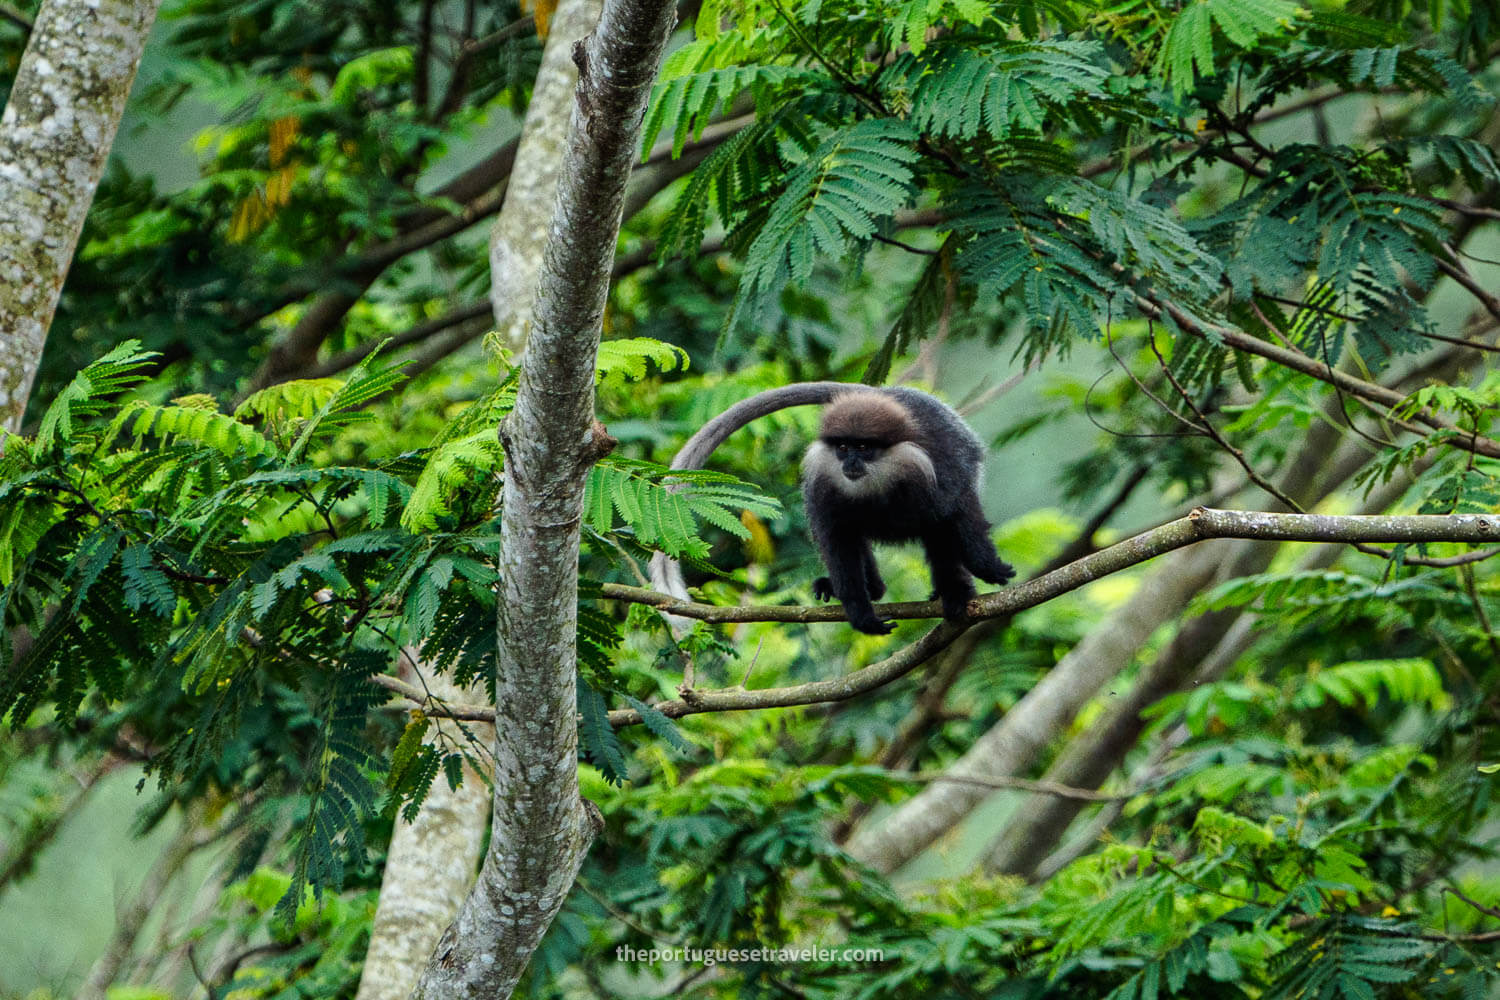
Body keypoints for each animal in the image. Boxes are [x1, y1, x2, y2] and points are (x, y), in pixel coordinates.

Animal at [798, 389, 1020, 632]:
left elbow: (960, 508)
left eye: (863, 448)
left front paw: (986, 568)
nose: (851, 463)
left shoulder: (939, 476)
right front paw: (862, 615)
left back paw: (955, 592)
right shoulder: (823, 492)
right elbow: (838, 544)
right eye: (843, 448)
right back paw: (873, 588)